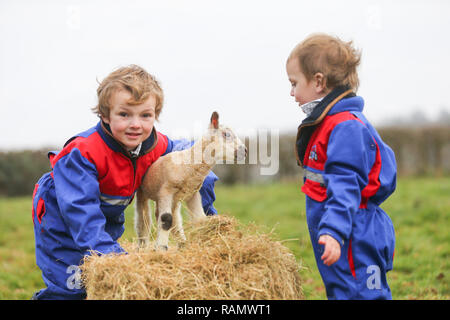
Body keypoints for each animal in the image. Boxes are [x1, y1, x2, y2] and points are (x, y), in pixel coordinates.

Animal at [134, 112, 246, 250]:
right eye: (226, 134)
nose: (245, 151)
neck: (188, 165)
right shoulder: (166, 190)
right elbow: (167, 219)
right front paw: (161, 248)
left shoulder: (192, 194)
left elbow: (199, 219)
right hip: (143, 191)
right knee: (144, 218)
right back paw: (143, 246)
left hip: (175, 199)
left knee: (171, 218)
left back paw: (182, 244)